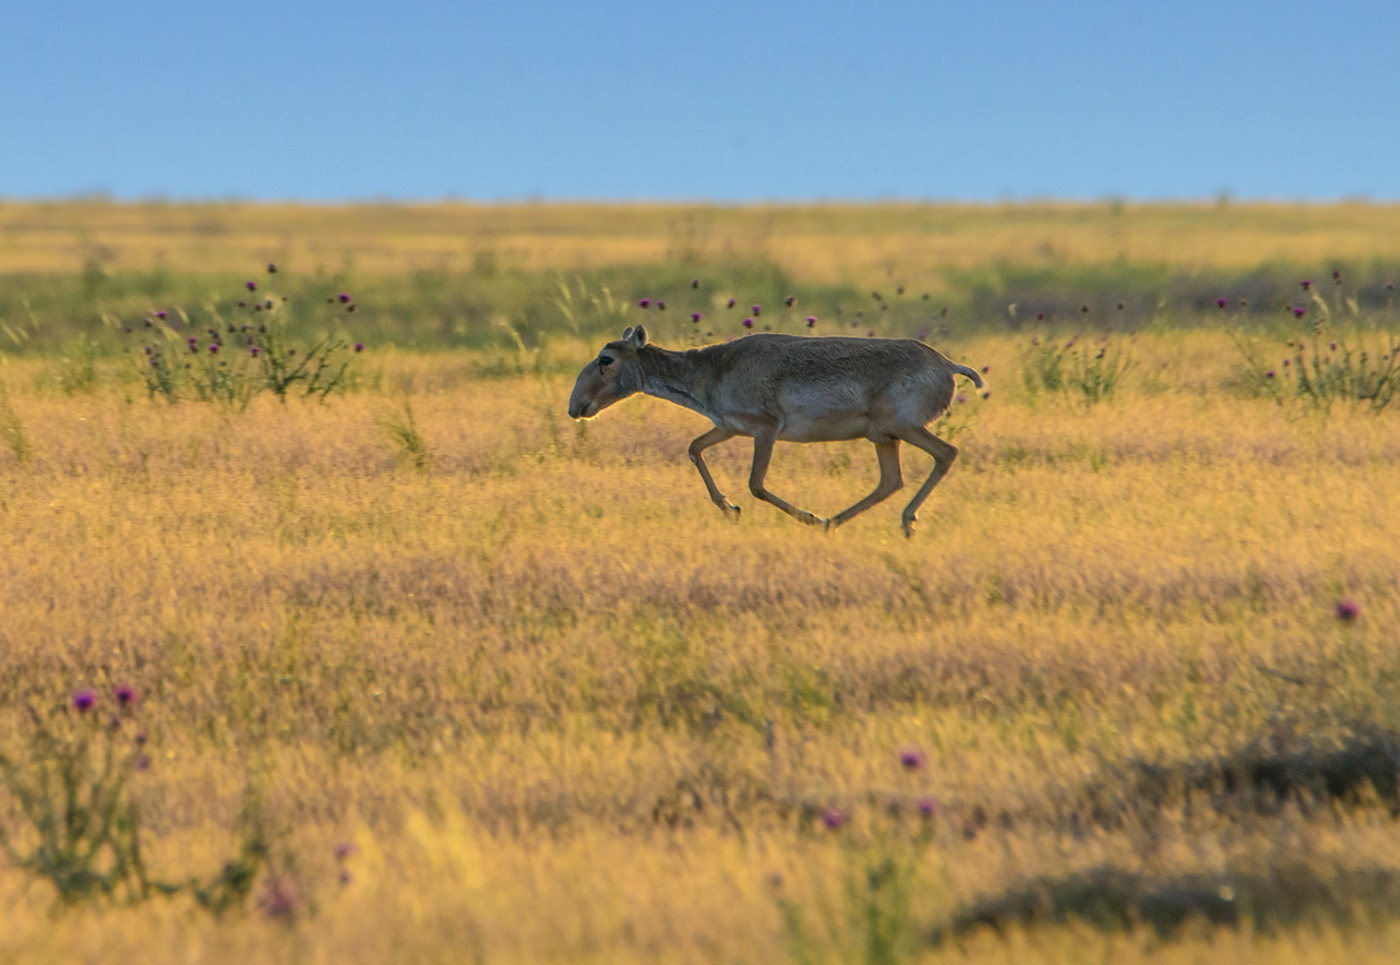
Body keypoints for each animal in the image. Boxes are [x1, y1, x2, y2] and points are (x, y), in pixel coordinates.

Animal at [568, 323, 985, 535]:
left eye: (606, 359)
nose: (575, 407)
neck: (708, 372)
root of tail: (949, 365)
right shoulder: (729, 426)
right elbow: (694, 448)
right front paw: (729, 509)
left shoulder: (765, 429)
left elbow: (756, 484)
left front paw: (806, 516)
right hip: (883, 437)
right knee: (890, 480)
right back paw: (834, 523)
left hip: (902, 426)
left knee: (946, 454)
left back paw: (900, 521)